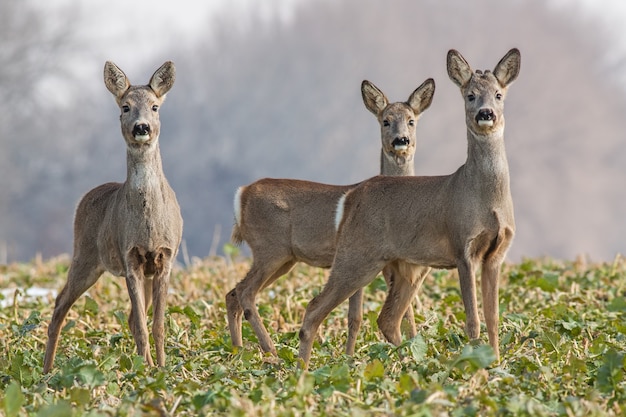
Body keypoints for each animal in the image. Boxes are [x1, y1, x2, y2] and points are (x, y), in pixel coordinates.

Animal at [42, 60, 180, 372]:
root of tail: (84, 199)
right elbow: (142, 325)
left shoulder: (165, 258)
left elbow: (157, 325)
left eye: (155, 106)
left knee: (129, 317)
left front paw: (161, 369)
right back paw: (46, 372)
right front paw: (147, 371)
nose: (141, 127)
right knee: (59, 304)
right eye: (125, 106)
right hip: (85, 256)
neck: (148, 224)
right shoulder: (129, 257)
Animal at [224, 79, 434, 358]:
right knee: (245, 292)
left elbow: (360, 316)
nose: (401, 141)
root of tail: (242, 194)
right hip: (270, 249)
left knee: (233, 293)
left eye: (411, 120)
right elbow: (379, 312)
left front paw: (350, 357)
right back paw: (272, 354)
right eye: (385, 121)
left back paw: (238, 352)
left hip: (284, 259)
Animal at [294, 47, 520, 368]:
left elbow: (493, 316)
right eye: (470, 95)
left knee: (387, 318)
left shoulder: (497, 254)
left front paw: (496, 363)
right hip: (357, 256)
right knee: (315, 308)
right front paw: (475, 365)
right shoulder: (462, 247)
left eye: (499, 94)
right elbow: (473, 319)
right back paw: (302, 371)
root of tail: (352, 196)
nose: (485, 113)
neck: (486, 201)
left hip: (401, 268)